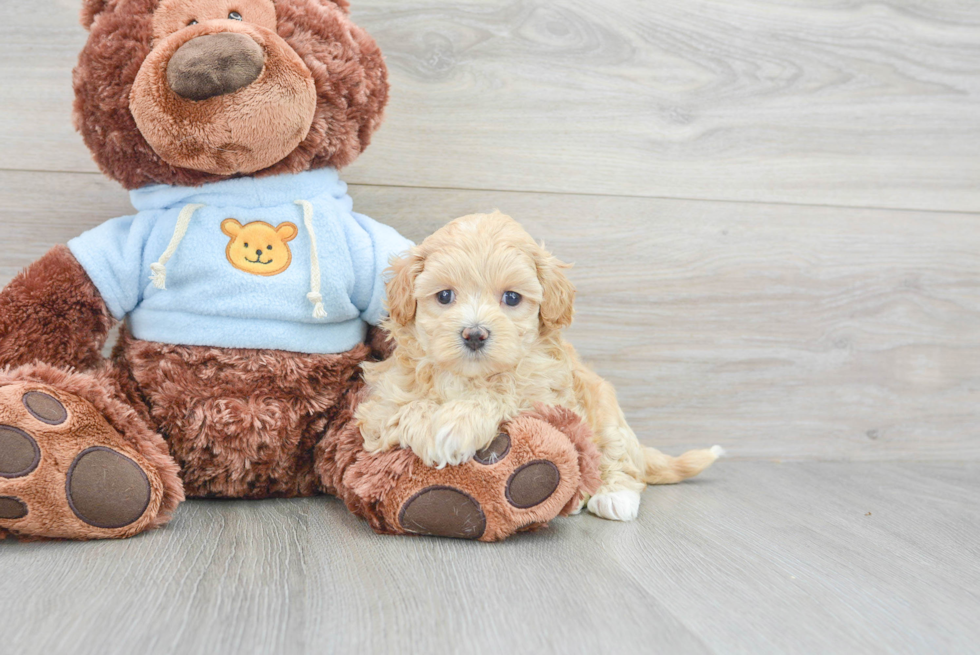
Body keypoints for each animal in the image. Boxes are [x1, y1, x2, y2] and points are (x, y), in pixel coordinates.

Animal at [356, 214, 724, 524]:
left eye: (512, 298)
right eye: (444, 296)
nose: (474, 334)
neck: (468, 377)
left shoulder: (547, 394)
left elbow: (505, 391)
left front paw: (455, 424)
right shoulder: (381, 402)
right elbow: (403, 408)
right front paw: (433, 428)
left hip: (606, 413)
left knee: (618, 460)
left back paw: (612, 496)